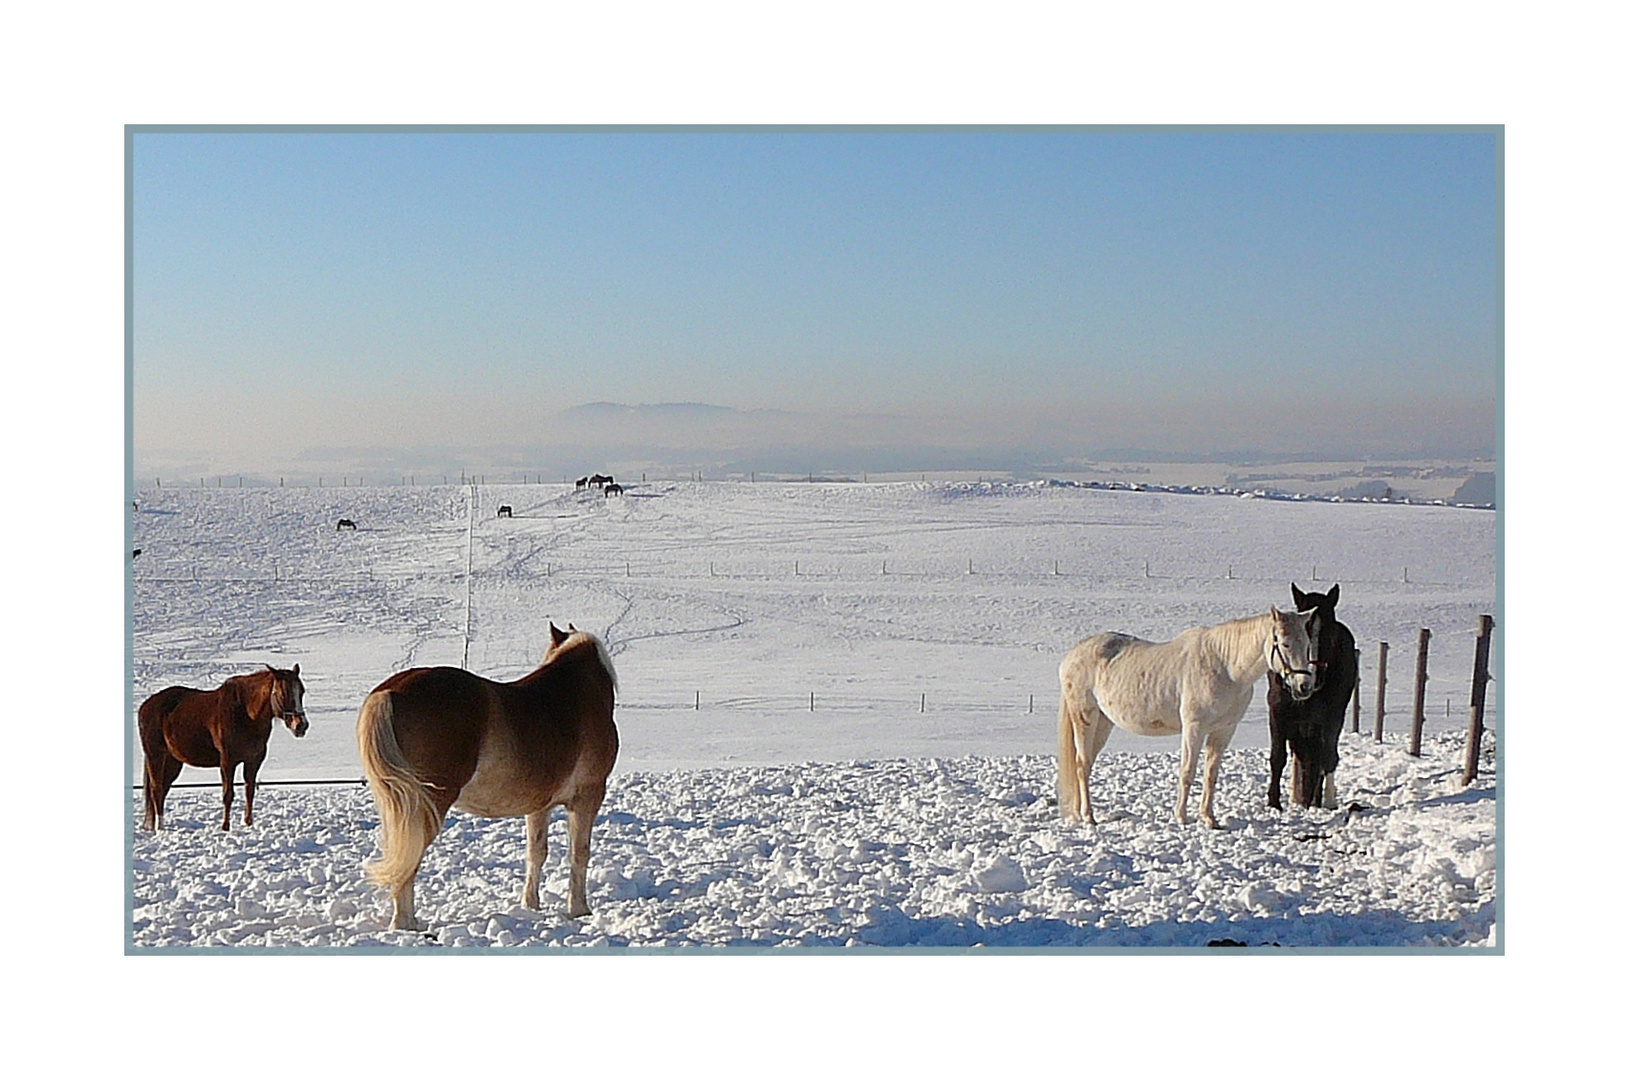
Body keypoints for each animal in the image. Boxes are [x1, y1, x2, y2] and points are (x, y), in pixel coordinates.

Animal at [138, 667, 306, 834]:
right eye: (284, 693)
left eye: (301, 692)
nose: (301, 725)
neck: (245, 713)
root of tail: (145, 706)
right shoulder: (227, 762)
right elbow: (228, 794)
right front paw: (225, 826)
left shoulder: (253, 761)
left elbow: (249, 791)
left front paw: (248, 824)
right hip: (155, 756)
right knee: (156, 790)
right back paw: (160, 827)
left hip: (173, 762)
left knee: (162, 790)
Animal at [356, 622, 615, 931]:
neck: (579, 691)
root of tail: (391, 691)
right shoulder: (588, 796)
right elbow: (579, 853)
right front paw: (579, 910)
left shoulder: (539, 806)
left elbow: (536, 853)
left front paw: (531, 905)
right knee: (409, 859)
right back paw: (406, 923)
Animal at [1055, 609, 1322, 827]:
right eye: (1285, 644)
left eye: (1307, 644)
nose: (1304, 686)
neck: (1225, 667)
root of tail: (1072, 655)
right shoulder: (1194, 728)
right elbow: (1187, 772)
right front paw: (1182, 817)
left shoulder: (1223, 731)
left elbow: (1210, 775)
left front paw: (1209, 819)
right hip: (1085, 718)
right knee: (1081, 765)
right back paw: (1088, 817)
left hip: (1103, 723)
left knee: (1086, 764)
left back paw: (1080, 813)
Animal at [1264, 583, 1355, 811]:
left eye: (1329, 633)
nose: (1306, 684)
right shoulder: (1278, 713)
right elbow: (1278, 757)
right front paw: (1274, 803)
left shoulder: (1332, 718)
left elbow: (1327, 757)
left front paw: (1327, 801)